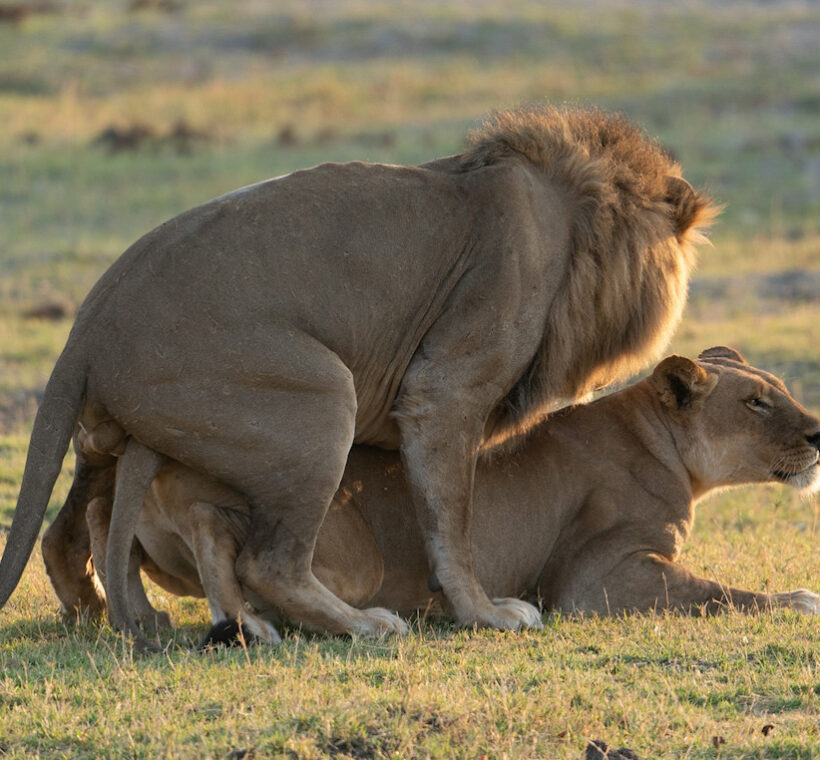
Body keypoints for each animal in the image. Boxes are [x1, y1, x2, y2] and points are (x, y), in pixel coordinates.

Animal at [1, 105, 715, 650]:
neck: (571, 225)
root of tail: (86, 328)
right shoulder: (444, 390)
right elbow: (453, 520)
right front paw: (485, 613)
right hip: (320, 401)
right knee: (270, 560)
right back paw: (364, 625)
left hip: (109, 439)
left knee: (69, 529)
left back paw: (114, 613)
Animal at [65, 348, 820, 643]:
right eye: (755, 403)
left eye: (779, 389)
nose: (819, 431)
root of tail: (157, 448)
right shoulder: (599, 576)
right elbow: (722, 593)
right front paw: (800, 599)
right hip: (348, 551)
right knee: (235, 543)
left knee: (107, 516)